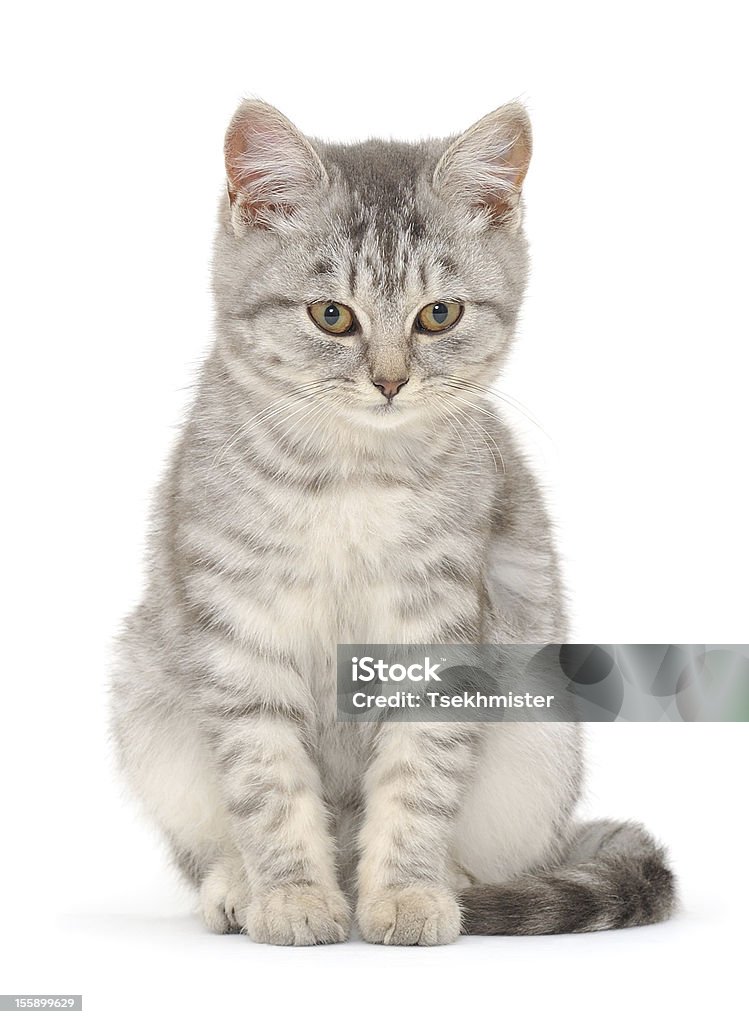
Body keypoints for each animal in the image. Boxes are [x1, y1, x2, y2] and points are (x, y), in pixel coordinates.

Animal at [112, 97, 680, 942]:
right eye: (331, 315)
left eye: (438, 315)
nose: (388, 382)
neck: (351, 475)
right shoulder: (239, 632)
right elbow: (268, 787)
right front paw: (291, 895)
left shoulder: (439, 628)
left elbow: (418, 779)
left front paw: (408, 892)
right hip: (144, 702)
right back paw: (237, 884)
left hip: (540, 733)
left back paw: (452, 881)